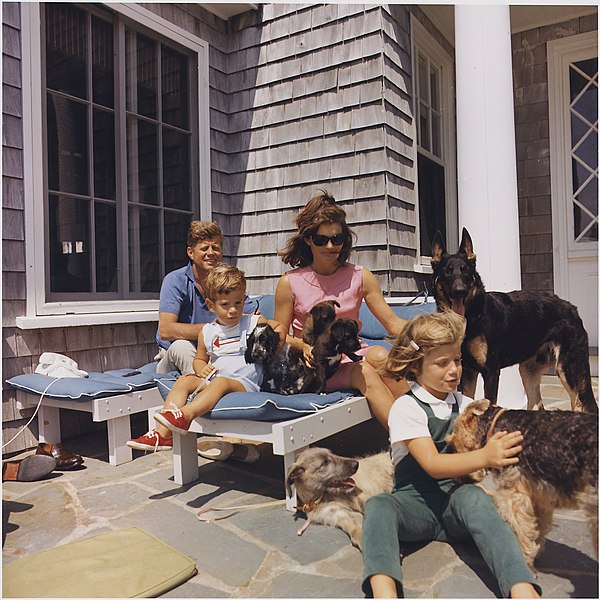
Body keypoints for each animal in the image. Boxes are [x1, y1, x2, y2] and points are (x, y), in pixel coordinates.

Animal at [432, 227, 596, 414]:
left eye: (465, 270)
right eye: (447, 271)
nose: (460, 291)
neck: (472, 317)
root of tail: (572, 308)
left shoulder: (490, 372)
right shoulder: (467, 372)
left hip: (568, 369)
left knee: (579, 405)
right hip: (528, 371)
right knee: (537, 405)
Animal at [448, 400, 596, 568]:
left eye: (452, 443)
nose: (456, 480)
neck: (495, 427)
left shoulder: (514, 496)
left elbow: (521, 532)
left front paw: (524, 560)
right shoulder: (539, 497)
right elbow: (536, 530)